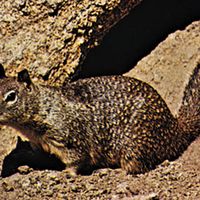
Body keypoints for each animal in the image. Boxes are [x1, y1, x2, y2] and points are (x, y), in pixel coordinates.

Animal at [0, 64, 199, 175]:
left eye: (11, 96)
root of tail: (175, 130)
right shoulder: (41, 145)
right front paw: (22, 157)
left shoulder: (71, 139)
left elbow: (77, 160)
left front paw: (66, 174)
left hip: (134, 146)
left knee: (138, 167)